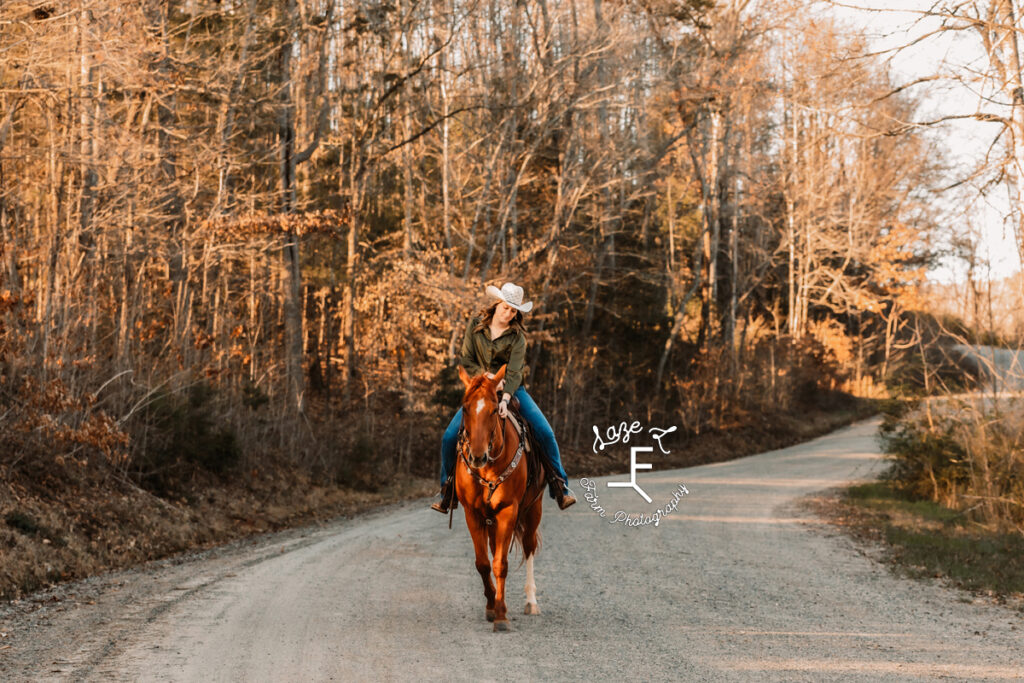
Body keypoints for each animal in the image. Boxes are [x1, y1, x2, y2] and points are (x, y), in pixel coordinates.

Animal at [458, 362, 548, 630]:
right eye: (465, 408)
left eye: (493, 411)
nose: (477, 457)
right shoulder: (472, 513)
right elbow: (483, 563)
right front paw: (491, 606)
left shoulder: (509, 511)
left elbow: (500, 563)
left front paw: (501, 614)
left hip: (533, 509)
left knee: (529, 547)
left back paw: (531, 602)